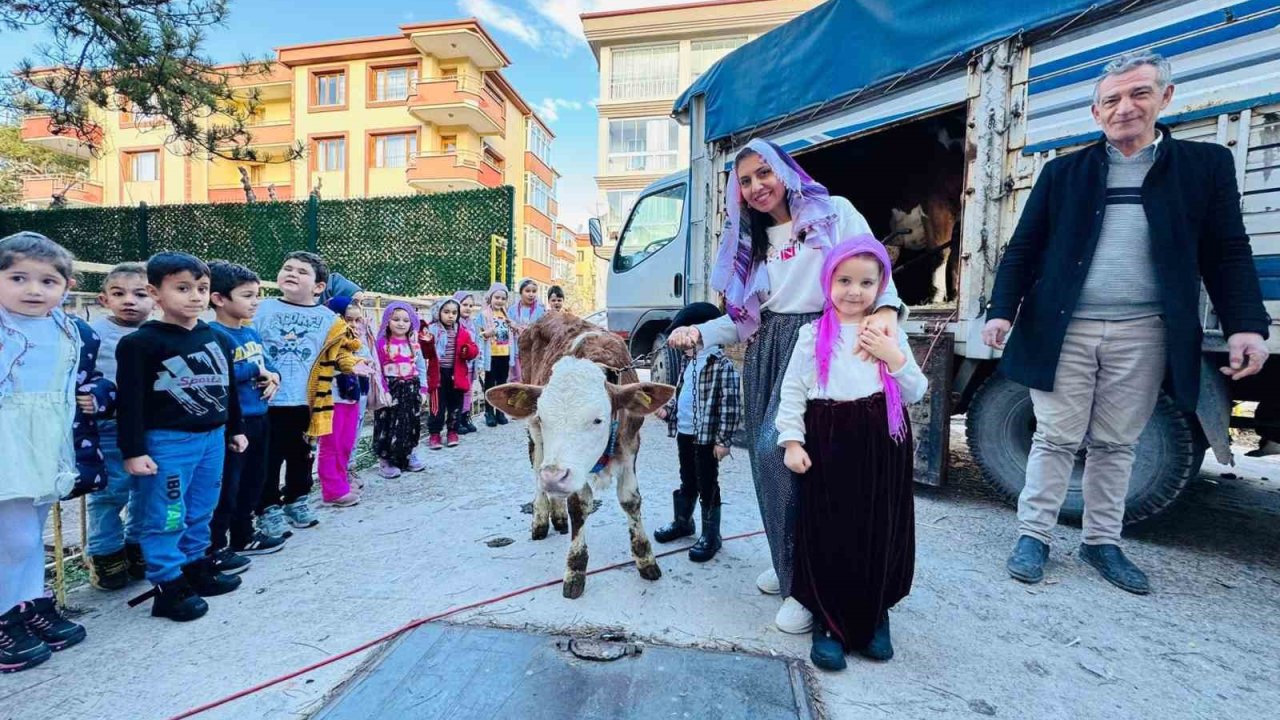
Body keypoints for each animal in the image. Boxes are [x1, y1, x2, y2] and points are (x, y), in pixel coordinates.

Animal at [483, 311, 675, 597]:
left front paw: (645, 559)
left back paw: (558, 515)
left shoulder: (631, 444)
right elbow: (578, 506)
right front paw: (575, 570)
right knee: (536, 464)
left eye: (597, 420)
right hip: (536, 437)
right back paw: (541, 518)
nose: (553, 477)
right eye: (544, 417)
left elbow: (630, 500)